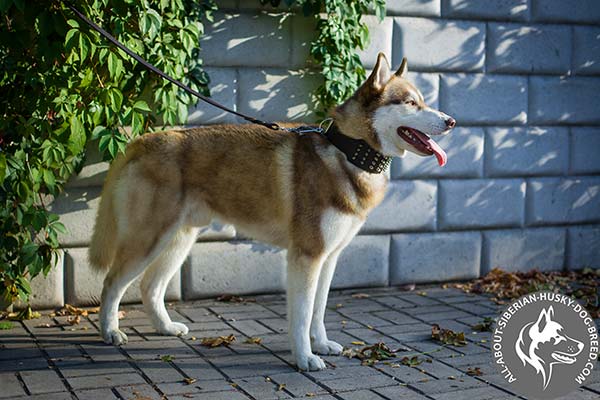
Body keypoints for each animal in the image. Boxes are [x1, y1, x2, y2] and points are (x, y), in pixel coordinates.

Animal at [88, 54, 454, 372]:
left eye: (423, 100)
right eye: (411, 103)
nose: (451, 121)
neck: (349, 151)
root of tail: (141, 140)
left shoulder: (329, 258)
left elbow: (318, 312)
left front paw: (321, 345)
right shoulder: (306, 256)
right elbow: (302, 315)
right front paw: (305, 359)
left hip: (178, 240)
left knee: (150, 287)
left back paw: (165, 328)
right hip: (148, 240)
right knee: (111, 284)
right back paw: (110, 332)